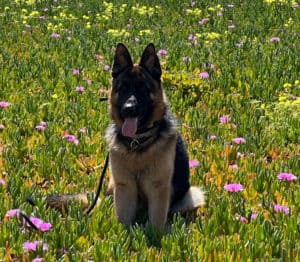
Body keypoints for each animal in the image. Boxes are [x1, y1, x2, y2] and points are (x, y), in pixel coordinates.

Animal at [104, 44, 205, 230]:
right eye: (123, 87)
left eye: (143, 88)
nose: (129, 108)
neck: (137, 141)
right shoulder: (124, 187)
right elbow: (123, 220)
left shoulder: (158, 188)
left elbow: (157, 221)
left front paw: (154, 237)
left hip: (191, 195)